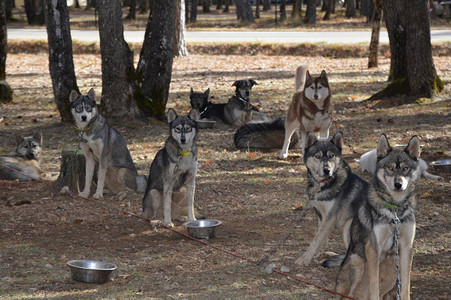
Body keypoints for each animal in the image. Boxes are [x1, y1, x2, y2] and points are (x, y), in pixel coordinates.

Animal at [294, 132, 370, 266]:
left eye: (331, 156)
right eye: (317, 156)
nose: (327, 170)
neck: (323, 184)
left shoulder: (330, 218)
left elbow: (315, 240)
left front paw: (305, 259)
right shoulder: (321, 216)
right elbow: (321, 238)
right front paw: (318, 254)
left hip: (348, 225)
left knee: (356, 257)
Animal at [338, 135, 422, 298]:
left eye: (405, 168)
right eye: (390, 168)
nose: (398, 184)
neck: (395, 210)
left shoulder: (406, 247)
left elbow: (405, 287)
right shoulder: (373, 248)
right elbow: (374, 287)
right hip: (357, 260)